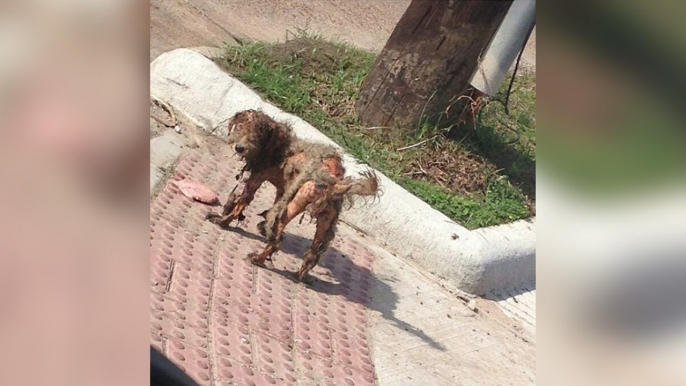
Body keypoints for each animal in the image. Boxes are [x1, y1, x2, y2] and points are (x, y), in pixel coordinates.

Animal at [208, 110, 382, 282]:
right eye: (241, 125)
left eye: (259, 134)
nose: (239, 148)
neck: (280, 148)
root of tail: (334, 182)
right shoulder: (282, 192)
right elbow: (273, 209)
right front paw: (264, 226)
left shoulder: (256, 179)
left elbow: (240, 204)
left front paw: (223, 221)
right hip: (326, 222)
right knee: (312, 254)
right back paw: (299, 276)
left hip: (294, 205)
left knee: (277, 239)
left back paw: (258, 258)